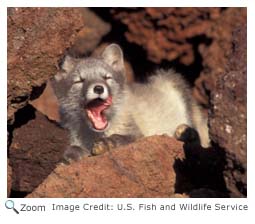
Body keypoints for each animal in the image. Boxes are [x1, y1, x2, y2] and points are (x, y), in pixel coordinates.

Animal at [51, 43, 209, 162]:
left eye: (107, 78)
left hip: (170, 79)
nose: (98, 88)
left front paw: (107, 143)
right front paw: (70, 156)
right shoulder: (73, 137)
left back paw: (185, 133)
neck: (95, 135)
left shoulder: (138, 134)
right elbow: (73, 148)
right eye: (79, 81)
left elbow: (123, 138)